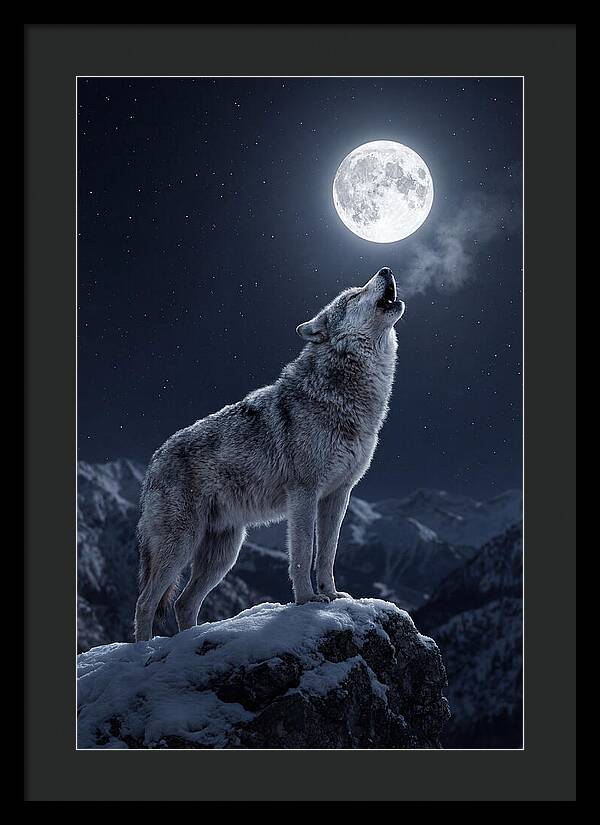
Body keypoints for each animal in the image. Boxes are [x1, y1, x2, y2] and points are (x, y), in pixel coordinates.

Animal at [134, 267, 405, 641]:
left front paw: (333, 595)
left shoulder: (338, 495)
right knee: (145, 602)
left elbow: (328, 554)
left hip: (225, 553)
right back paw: (142, 650)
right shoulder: (304, 493)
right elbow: (303, 553)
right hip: (180, 546)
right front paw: (307, 600)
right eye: (353, 295)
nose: (386, 270)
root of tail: (154, 461)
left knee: (183, 603)